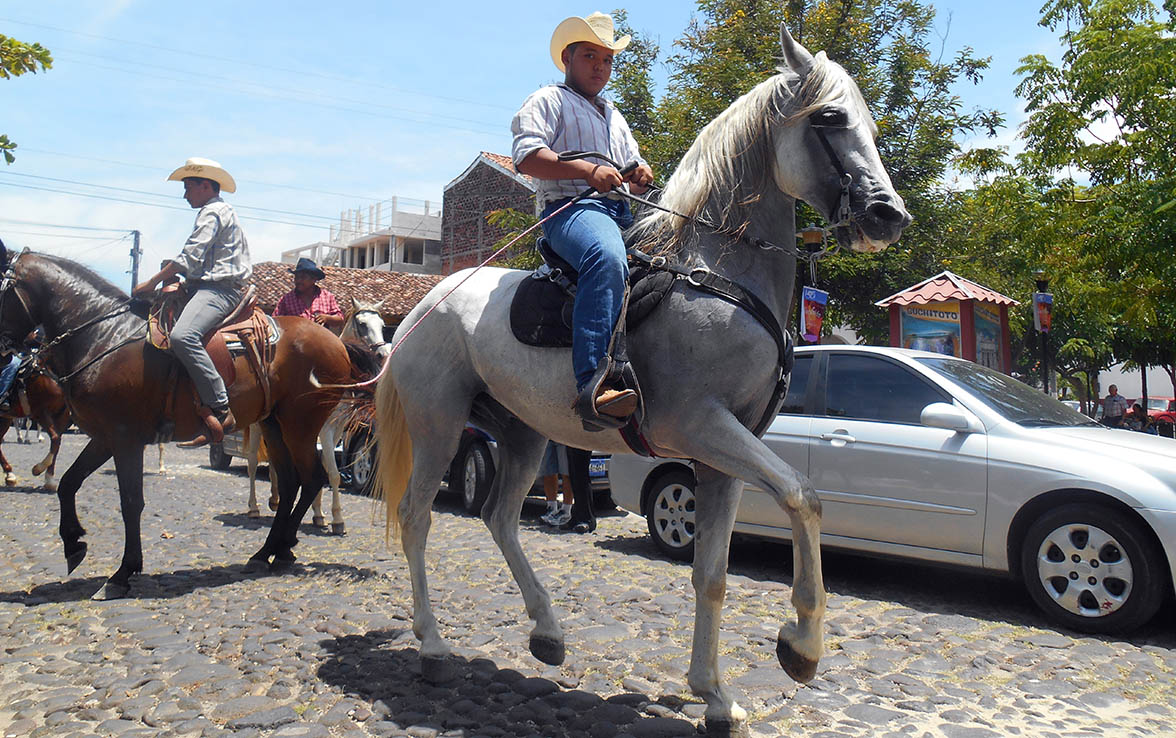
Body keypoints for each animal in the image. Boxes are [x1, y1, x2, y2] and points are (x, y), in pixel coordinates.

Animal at [0, 249, 354, 600]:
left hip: (300, 425)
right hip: (273, 425)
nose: (6, 352)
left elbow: (131, 502)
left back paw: (283, 546)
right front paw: (74, 544)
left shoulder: (125, 439)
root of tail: (336, 343)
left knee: (313, 478)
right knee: (293, 481)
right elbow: (68, 483)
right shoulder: (104, 437)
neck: (105, 336)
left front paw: (122, 573)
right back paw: (268, 551)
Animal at [243, 299, 388, 533]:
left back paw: (275, 500)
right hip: (258, 426)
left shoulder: (335, 431)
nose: (382, 354)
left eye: (382, 325)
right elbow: (333, 472)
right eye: (362, 324)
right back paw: (253, 507)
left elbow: (322, 467)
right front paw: (337, 519)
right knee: (252, 463)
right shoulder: (324, 430)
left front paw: (319, 514)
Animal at [370, 28, 909, 736]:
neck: (719, 270)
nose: (887, 216)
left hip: (522, 434)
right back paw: (433, 647)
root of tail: (423, 307)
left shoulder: (725, 455)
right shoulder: (701, 426)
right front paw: (800, 647)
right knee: (416, 517)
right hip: (437, 424)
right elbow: (803, 495)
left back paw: (547, 633)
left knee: (500, 516)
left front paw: (714, 695)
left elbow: (712, 573)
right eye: (828, 119)